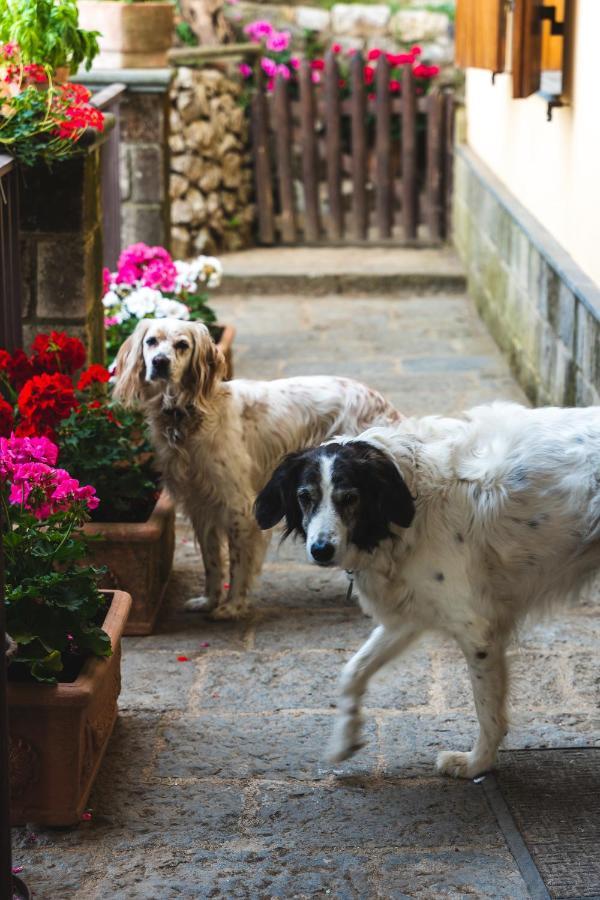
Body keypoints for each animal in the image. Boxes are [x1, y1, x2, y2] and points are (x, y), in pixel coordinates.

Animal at [112, 316, 404, 620]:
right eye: (151, 341)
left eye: (182, 345)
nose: (160, 362)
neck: (191, 416)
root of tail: (383, 404)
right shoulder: (201, 506)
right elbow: (212, 562)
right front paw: (209, 600)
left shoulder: (239, 508)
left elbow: (237, 564)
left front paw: (232, 605)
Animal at [255, 404, 600, 776]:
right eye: (305, 497)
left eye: (350, 498)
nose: (321, 550)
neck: (408, 505)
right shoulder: (411, 612)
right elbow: (352, 671)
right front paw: (345, 741)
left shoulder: (477, 631)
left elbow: (487, 709)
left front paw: (477, 764)